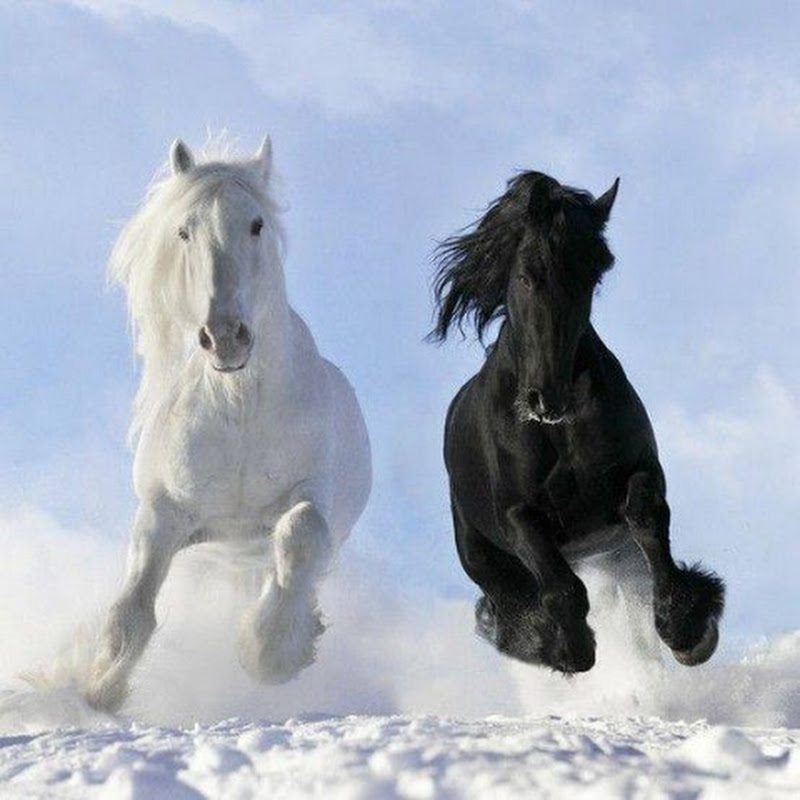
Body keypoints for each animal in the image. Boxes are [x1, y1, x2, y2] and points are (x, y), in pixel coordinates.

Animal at [84, 137, 371, 711]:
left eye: (257, 224)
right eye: (184, 230)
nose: (224, 337)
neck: (239, 409)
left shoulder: (313, 496)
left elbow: (301, 534)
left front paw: (269, 653)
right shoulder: (164, 513)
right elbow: (132, 609)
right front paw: (99, 688)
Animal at [430, 171, 725, 674]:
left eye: (592, 276)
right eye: (526, 275)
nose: (547, 398)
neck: (558, 431)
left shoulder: (640, 472)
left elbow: (647, 519)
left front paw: (687, 629)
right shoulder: (519, 516)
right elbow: (561, 588)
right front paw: (569, 649)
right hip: (481, 554)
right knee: (509, 600)